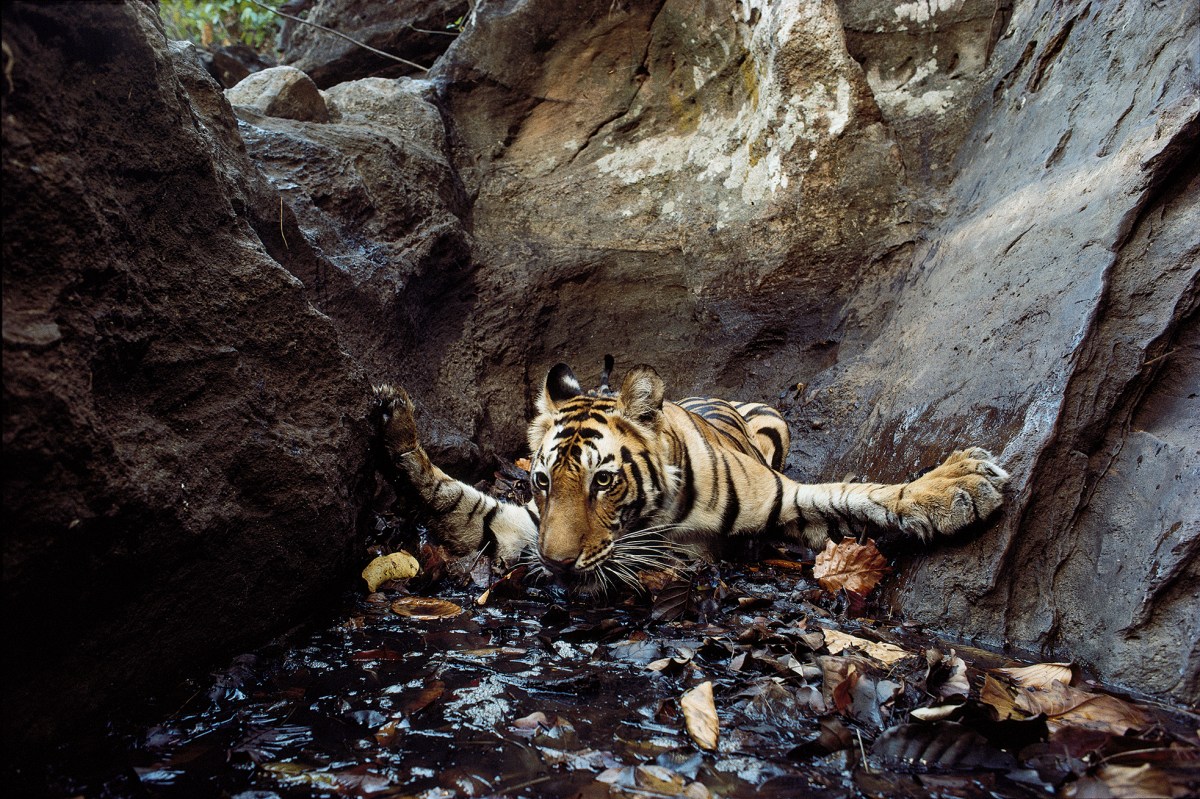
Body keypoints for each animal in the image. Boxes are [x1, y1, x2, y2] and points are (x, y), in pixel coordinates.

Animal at [370, 362, 1009, 592]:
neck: (657, 514)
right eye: (543, 481)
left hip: (775, 429)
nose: (554, 565)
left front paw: (962, 483)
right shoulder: (524, 527)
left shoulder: (787, 498)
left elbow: (857, 493)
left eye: (603, 482)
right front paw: (394, 425)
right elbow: (459, 500)